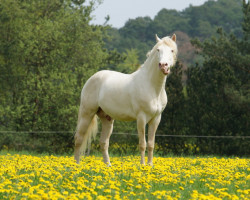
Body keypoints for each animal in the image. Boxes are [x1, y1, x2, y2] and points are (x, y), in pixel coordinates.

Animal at [74, 34, 178, 166]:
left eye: (172, 50)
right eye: (158, 50)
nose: (163, 65)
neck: (152, 88)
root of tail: (92, 78)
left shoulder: (156, 119)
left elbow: (151, 144)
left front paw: (150, 165)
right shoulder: (141, 118)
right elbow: (142, 144)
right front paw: (143, 165)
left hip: (107, 118)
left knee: (103, 142)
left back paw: (108, 166)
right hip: (87, 113)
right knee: (79, 138)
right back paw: (76, 165)